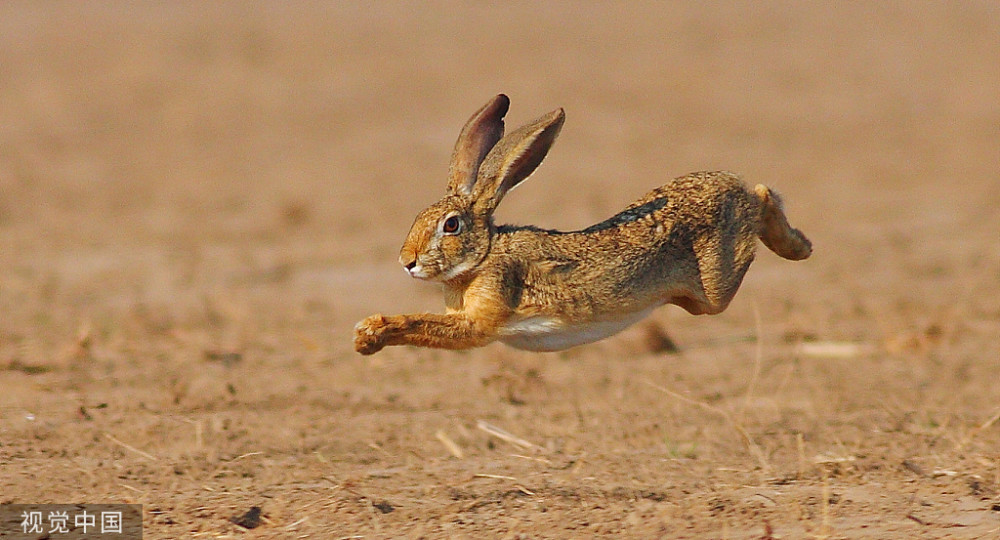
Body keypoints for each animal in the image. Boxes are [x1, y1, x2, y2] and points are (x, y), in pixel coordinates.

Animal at [354, 94, 811, 355]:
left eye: (450, 226)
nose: (407, 261)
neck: (483, 256)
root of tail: (728, 182)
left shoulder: (483, 319)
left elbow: (421, 324)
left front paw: (369, 335)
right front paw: (365, 336)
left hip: (715, 281)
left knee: (763, 196)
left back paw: (799, 245)